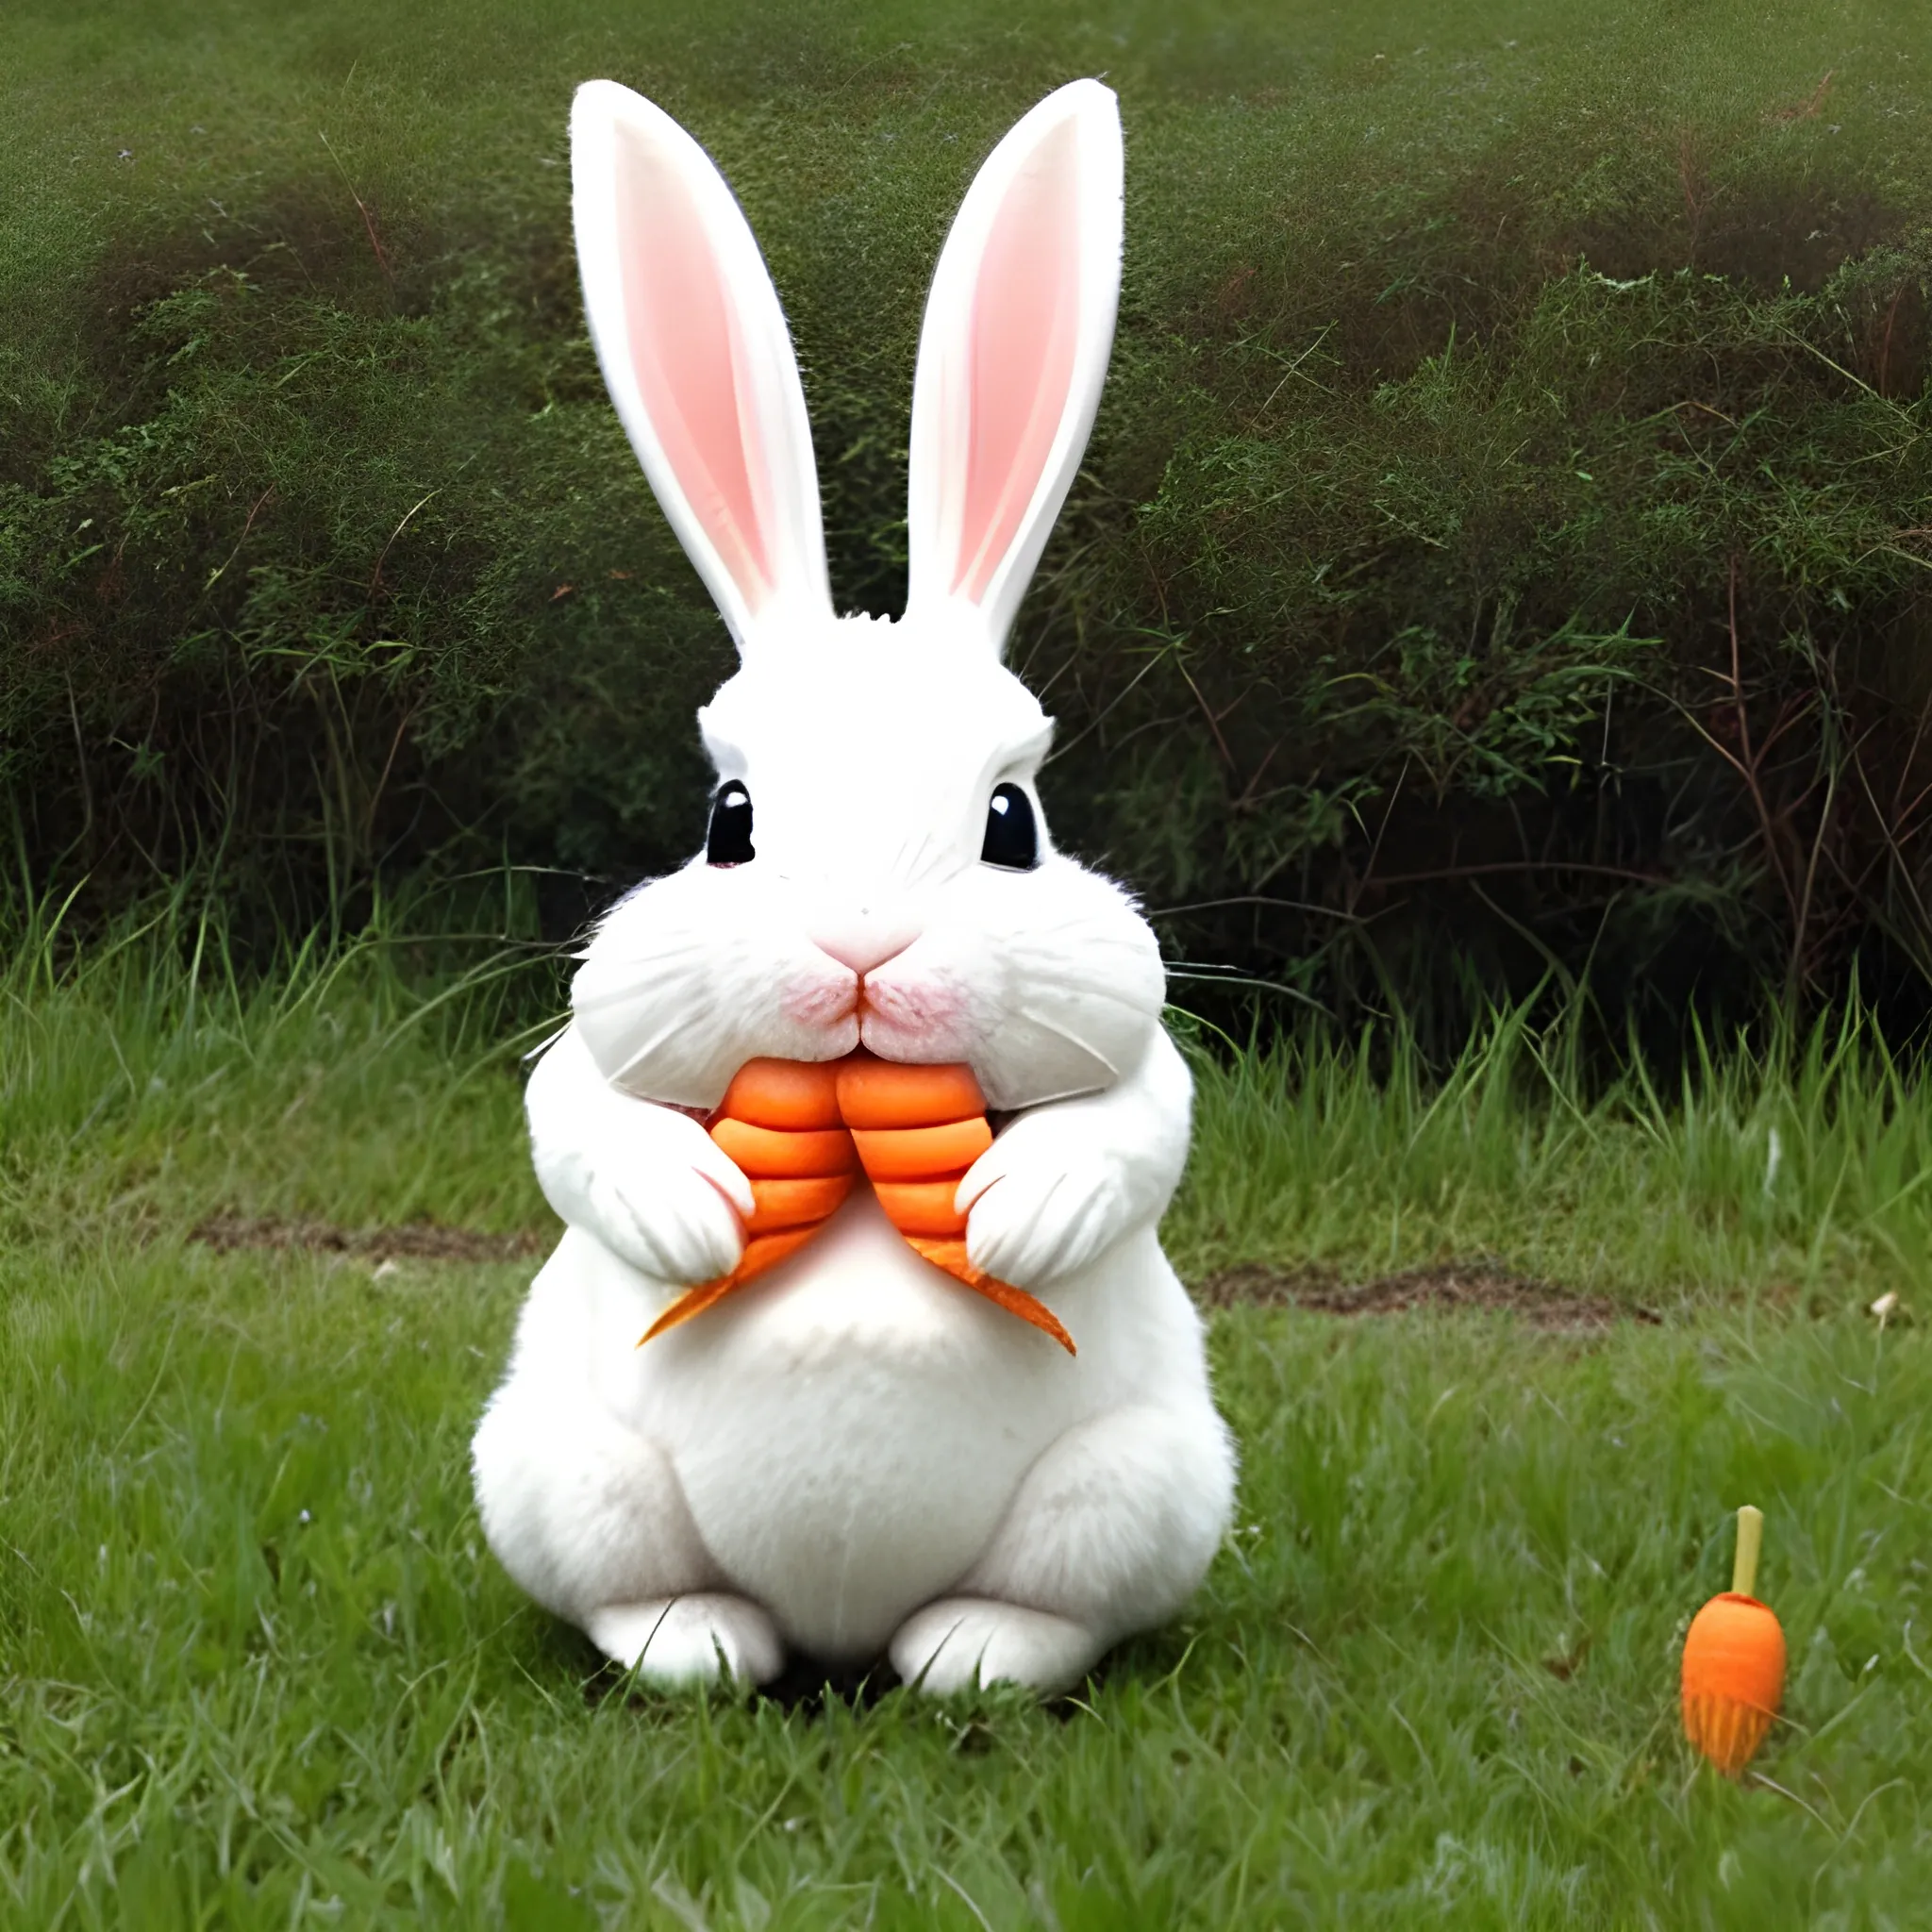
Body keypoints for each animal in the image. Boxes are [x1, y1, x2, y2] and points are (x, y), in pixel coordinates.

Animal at [475, 75, 1243, 1692]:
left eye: (1012, 819)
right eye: (730, 819)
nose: (862, 951)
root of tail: (841, 1632)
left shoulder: (1139, 1051)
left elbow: (1146, 1124)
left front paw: (1026, 1210)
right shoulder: (592, 1046)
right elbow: (573, 1119)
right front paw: (689, 1210)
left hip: (1144, 1488)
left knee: (1043, 1614)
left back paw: (972, 1658)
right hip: (558, 1476)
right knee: (649, 1603)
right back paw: (701, 1646)